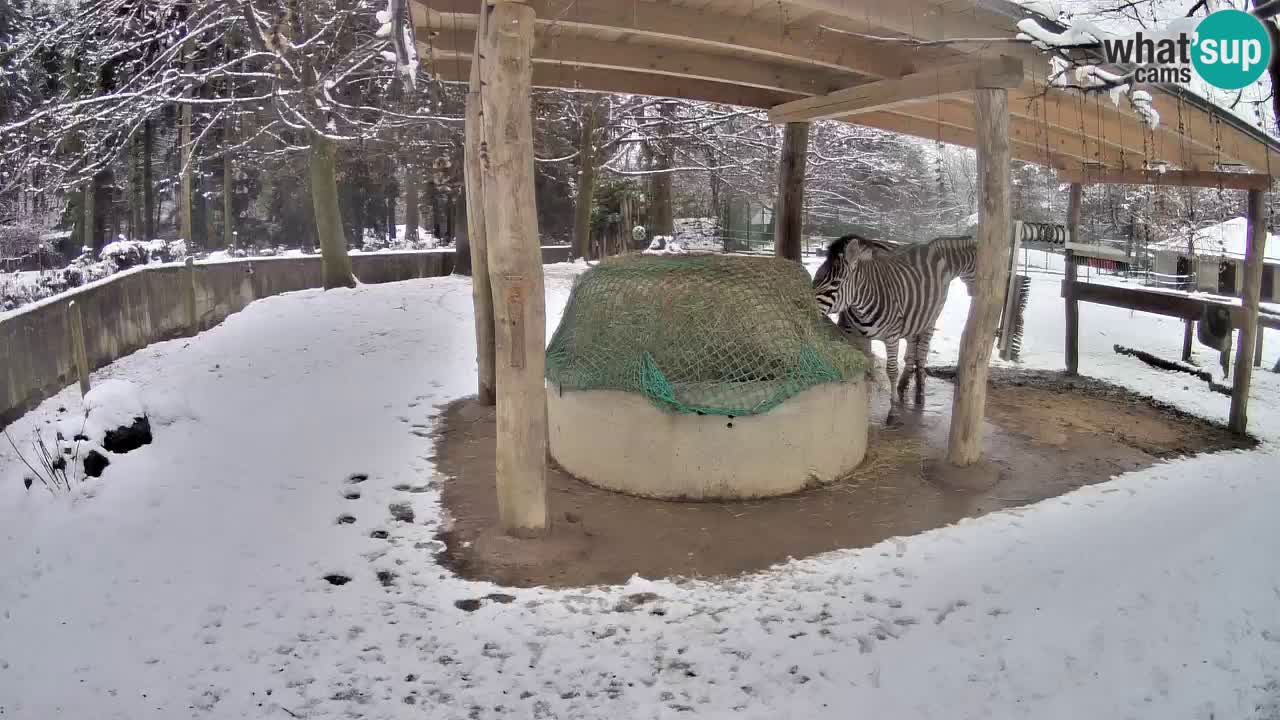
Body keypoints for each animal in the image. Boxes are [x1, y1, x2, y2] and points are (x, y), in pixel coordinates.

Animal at [814, 233, 972, 412]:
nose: (806, 302)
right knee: (914, 348)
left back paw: (918, 388)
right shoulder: (855, 336)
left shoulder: (892, 336)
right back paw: (907, 384)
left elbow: (891, 369)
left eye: (834, 284)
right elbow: (865, 363)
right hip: (914, 317)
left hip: (930, 318)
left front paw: (893, 402)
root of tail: (928, 245)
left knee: (921, 350)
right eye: (816, 276)